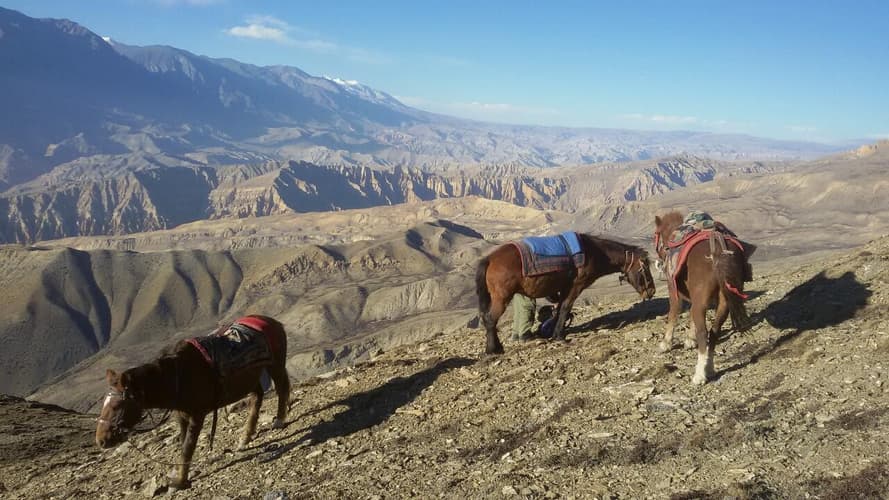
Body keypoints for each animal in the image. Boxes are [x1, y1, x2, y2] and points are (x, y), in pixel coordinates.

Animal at [95, 315, 291, 489]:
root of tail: (273, 322)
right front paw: (180, 475)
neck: (177, 376)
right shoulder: (181, 416)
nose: (101, 441)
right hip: (248, 379)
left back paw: (279, 421)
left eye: (116, 406)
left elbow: (187, 448)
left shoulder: (197, 415)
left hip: (275, 365)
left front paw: (180, 482)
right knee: (257, 396)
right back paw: (245, 438)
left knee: (281, 388)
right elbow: (183, 444)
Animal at [476, 233, 655, 355]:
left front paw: (555, 333)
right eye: (645, 268)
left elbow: (559, 309)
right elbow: (565, 308)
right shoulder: (575, 286)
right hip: (501, 298)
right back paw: (494, 349)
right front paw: (560, 336)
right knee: (490, 319)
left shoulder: (563, 289)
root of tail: (489, 259)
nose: (651, 291)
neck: (594, 252)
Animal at [653, 212, 752, 385]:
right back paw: (710, 368)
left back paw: (699, 375)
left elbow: (673, 314)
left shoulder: (673, 290)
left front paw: (666, 343)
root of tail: (718, 248)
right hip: (724, 303)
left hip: (702, 301)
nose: (658, 262)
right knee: (714, 332)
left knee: (704, 333)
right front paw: (689, 340)